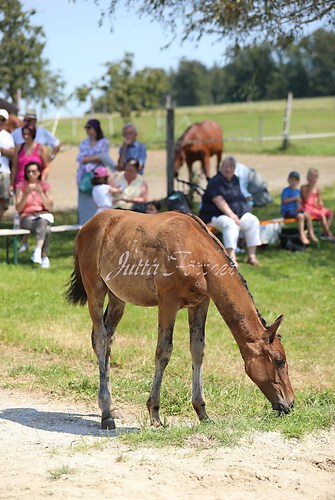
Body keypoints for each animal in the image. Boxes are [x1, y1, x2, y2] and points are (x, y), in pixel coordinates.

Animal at [67, 211, 296, 430]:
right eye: (279, 360)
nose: (290, 404)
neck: (196, 252)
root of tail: (86, 226)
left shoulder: (200, 303)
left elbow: (197, 349)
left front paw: (202, 413)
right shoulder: (168, 302)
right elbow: (163, 351)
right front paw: (155, 414)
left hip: (118, 298)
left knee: (107, 340)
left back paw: (111, 408)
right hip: (95, 290)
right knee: (100, 338)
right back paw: (106, 413)